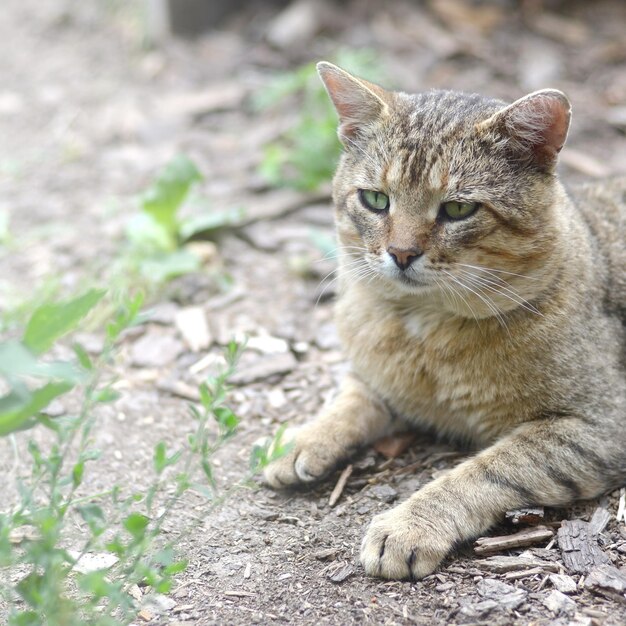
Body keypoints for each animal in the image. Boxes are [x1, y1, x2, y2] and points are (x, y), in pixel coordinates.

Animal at [262, 61, 624, 576]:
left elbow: (487, 470)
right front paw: (302, 438)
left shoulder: (598, 425)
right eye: (375, 200)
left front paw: (409, 525)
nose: (400, 253)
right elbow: (350, 398)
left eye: (457, 208)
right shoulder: (373, 377)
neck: (423, 330)